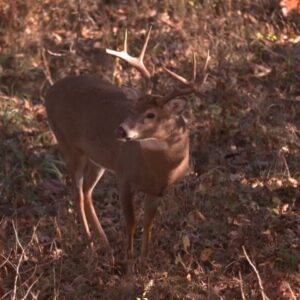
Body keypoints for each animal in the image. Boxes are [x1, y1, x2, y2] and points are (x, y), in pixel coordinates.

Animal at [45, 28, 209, 258]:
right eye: (133, 107)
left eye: (151, 114)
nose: (120, 130)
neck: (161, 170)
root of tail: (48, 93)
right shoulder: (124, 177)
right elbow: (131, 222)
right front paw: (128, 257)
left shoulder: (157, 190)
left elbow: (148, 222)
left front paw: (145, 256)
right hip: (68, 144)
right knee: (76, 193)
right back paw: (90, 243)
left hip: (98, 159)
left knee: (87, 191)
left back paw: (104, 242)